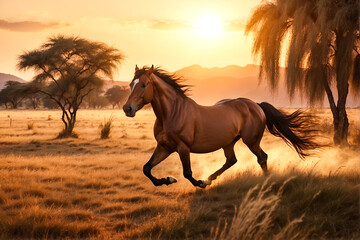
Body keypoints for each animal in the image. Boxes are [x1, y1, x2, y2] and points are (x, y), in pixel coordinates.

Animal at [124, 65, 318, 188]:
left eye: (143, 85)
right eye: (130, 84)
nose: (127, 108)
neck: (172, 113)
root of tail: (255, 105)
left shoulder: (182, 148)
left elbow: (188, 173)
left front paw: (198, 183)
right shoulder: (164, 147)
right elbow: (147, 168)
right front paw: (167, 180)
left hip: (251, 141)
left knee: (262, 157)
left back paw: (264, 182)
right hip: (229, 142)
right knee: (232, 160)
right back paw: (210, 178)